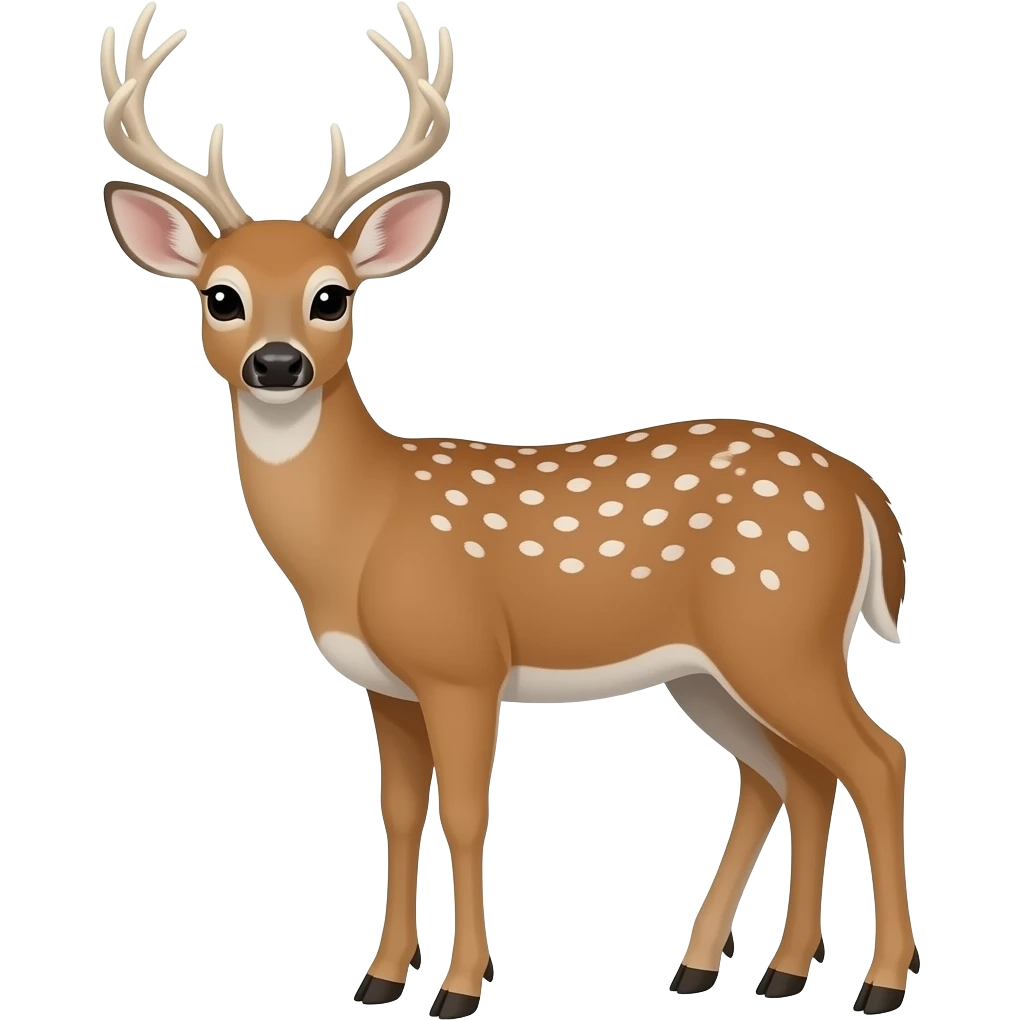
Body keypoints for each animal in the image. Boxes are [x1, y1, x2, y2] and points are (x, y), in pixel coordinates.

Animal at [99, 3, 918, 1016]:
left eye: (333, 296)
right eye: (221, 296)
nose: (277, 363)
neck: (361, 530)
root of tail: (859, 487)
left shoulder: (461, 661)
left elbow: (463, 813)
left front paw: (458, 986)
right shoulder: (386, 683)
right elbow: (398, 813)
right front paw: (380, 977)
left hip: (781, 629)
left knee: (874, 760)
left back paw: (875, 982)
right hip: (712, 665)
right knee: (791, 777)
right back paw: (748, 970)